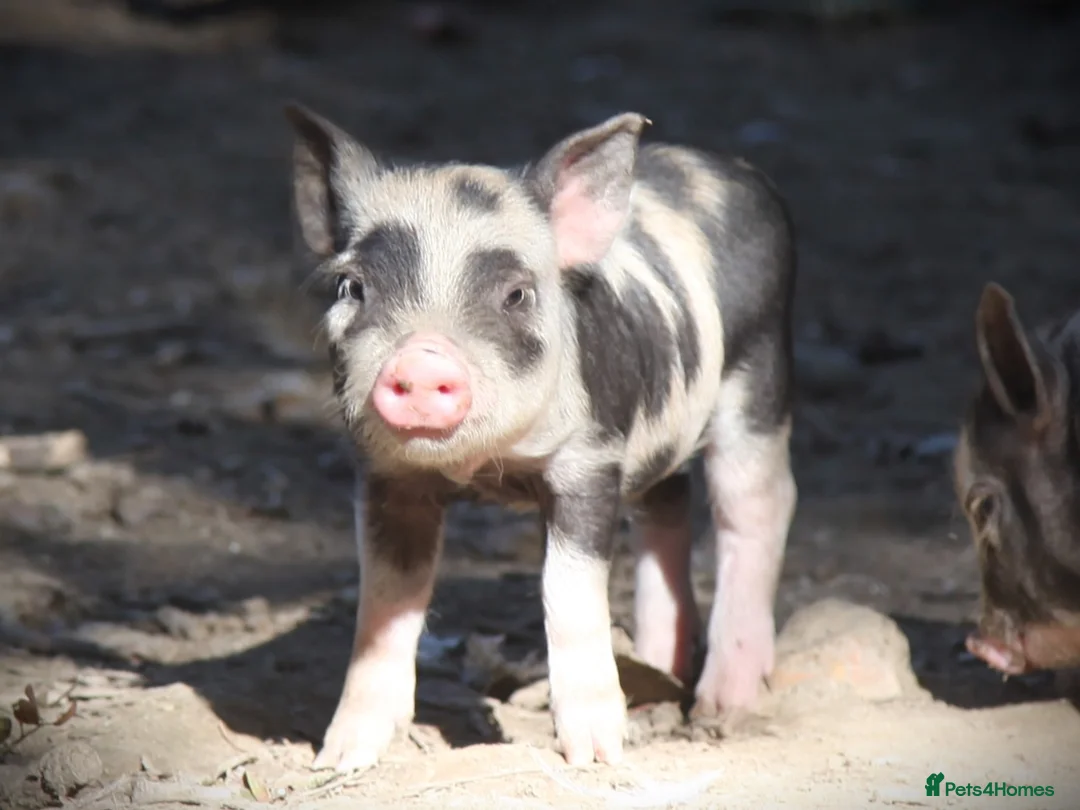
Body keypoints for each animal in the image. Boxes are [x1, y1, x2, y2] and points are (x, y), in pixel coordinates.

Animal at [283, 102, 798, 772]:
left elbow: (566, 589)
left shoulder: (591, 458)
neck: (488, 471)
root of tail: (734, 169)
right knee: (667, 509)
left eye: (516, 294)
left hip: (758, 377)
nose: (421, 358)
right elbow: (387, 597)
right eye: (353, 288)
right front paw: (341, 757)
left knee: (758, 505)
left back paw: (722, 707)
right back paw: (656, 677)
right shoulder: (389, 478)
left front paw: (597, 757)